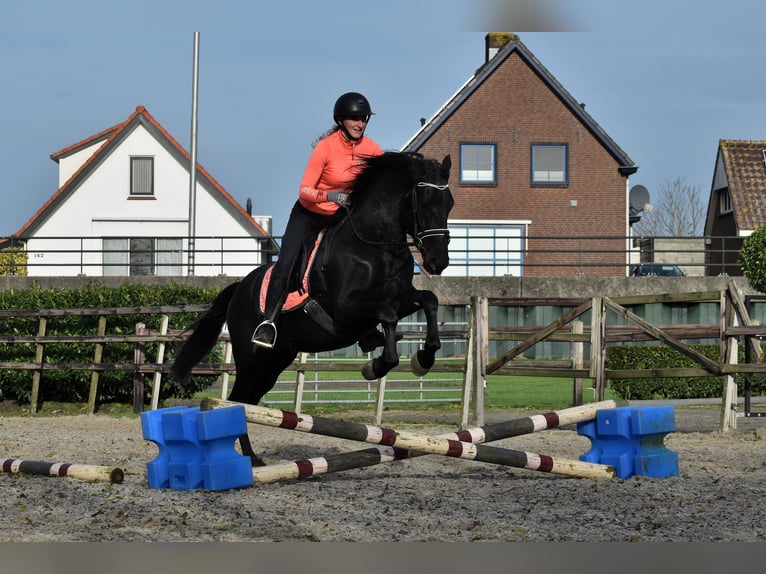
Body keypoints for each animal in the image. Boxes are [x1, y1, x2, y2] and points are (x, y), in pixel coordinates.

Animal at [171, 152, 452, 464]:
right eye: (425, 201)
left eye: (449, 203)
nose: (438, 262)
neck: (375, 245)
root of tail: (239, 288)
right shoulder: (346, 309)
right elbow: (388, 318)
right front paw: (377, 365)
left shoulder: (400, 298)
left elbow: (429, 300)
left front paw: (423, 358)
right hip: (252, 359)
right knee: (237, 401)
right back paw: (251, 459)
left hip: (274, 362)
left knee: (247, 401)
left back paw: (250, 457)